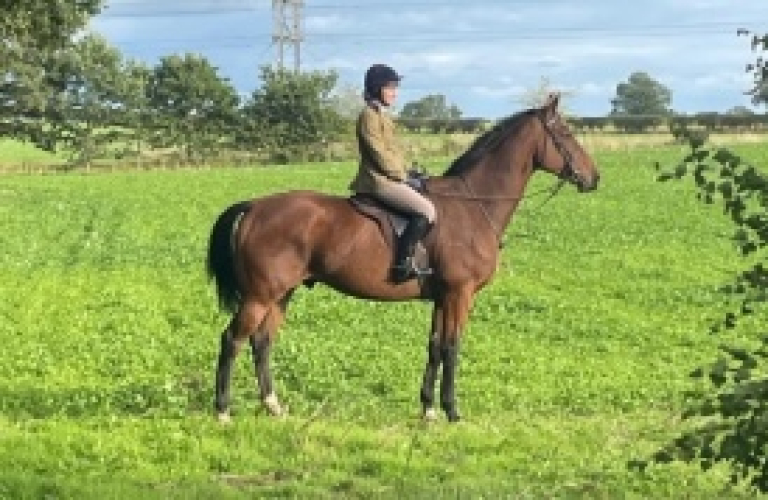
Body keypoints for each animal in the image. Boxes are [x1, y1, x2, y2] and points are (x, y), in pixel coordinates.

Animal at [207, 93, 600, 423]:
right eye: (565, 133)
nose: (594, 178)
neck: (473, 205)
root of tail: (255, 207)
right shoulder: (460, 294)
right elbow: (453, 347)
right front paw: (452, 411)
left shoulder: (443, 297)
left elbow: (435, 346)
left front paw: (428, 410)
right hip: (260, 296)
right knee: (232, 340)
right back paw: (223, 412)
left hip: (281, 294)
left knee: (261, 342)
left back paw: (273, 407)